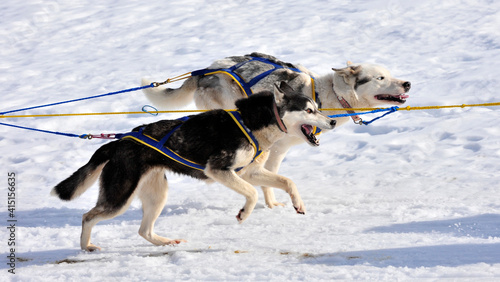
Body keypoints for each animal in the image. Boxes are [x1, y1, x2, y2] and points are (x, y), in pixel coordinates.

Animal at [51, 81, 336, 251]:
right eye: (309, 111)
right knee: (88, 216)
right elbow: (253, 194)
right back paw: (86, 247)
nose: (332, 122)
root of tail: (120, 141)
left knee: (143, 230)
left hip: (156, 195)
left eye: (317, 108)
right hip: (119, 197)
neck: (252, 124)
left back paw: (165, 242)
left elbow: (288, 181)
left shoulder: (250, 172)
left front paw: (298, 204)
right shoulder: (219, 170)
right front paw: (244, 213)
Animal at [141, 52, 410, 207]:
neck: (326, 95)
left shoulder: (278, 151)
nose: (407, 83)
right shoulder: (273, 150)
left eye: (389, 74)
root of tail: (206, 70)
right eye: (380, 78)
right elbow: (267, 178)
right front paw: (271, 203)